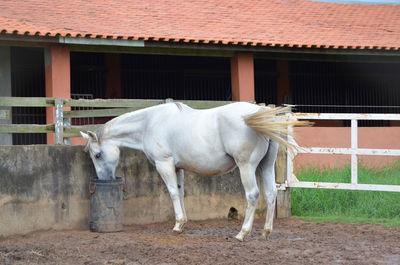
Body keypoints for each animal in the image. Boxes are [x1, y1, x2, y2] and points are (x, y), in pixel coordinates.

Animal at [80, 101, 306, 241]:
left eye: (97, 155)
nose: (105, 179)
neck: (150, 123)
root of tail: (258, 113)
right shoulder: (178, 167)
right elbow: (180, 193)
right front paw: (183, 224)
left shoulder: (164, 164)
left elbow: (172, 193)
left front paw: (177, 225)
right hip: (265, 166)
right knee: (270, 194)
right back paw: (266, 232)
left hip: (246, 166)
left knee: (253, 195)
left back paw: (242, 234)